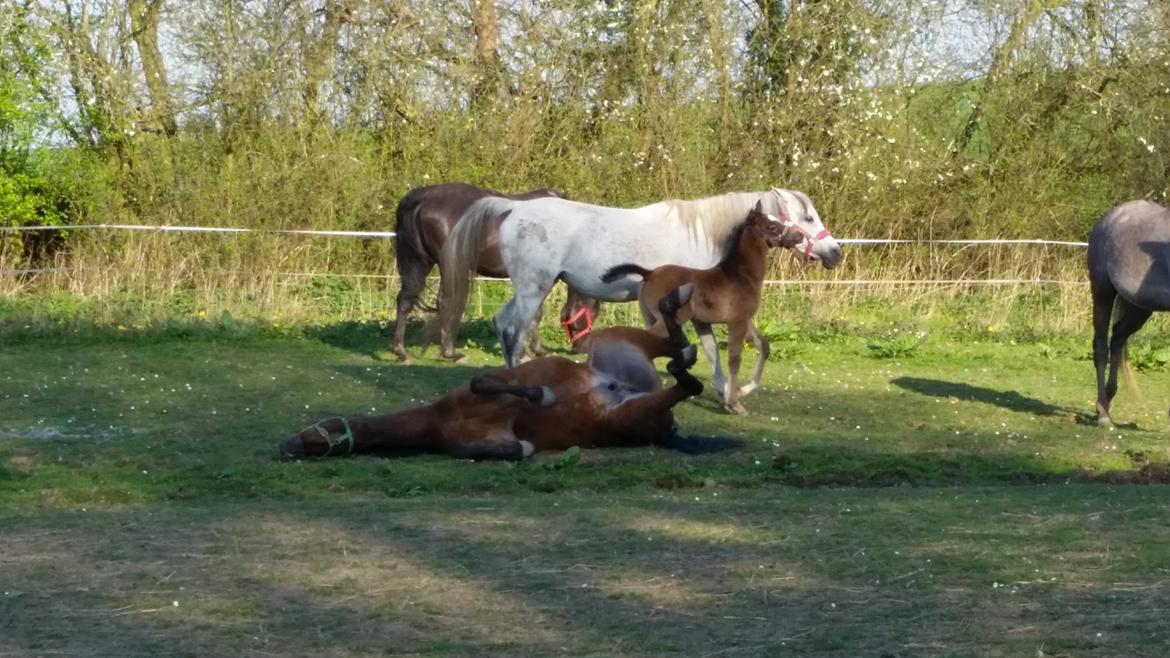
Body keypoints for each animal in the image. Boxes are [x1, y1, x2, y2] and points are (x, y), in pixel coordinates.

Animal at [280, 299, 739, 458]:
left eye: (318, 432)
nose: (287, 445)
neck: (439, 421)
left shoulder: (489, 385)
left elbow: (489, 381)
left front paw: (540, 394)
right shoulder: (499, 444)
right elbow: (519, 445)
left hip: (613, 350)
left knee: (684, 367)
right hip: (629, 402)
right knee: (683, 367)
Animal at [439, 187, 842, 379]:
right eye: (808, 217)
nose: (835, 252)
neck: (702, 234)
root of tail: (515, 208)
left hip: (530, 288)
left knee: (504, 323)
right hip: (533, 288)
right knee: (514, 327)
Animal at [1085, 200, 1170, 426]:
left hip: (1139, 308)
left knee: (1117, 338)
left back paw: (1107, 402)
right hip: (1102, 291)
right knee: (1101, 347)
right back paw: (1102, 414)